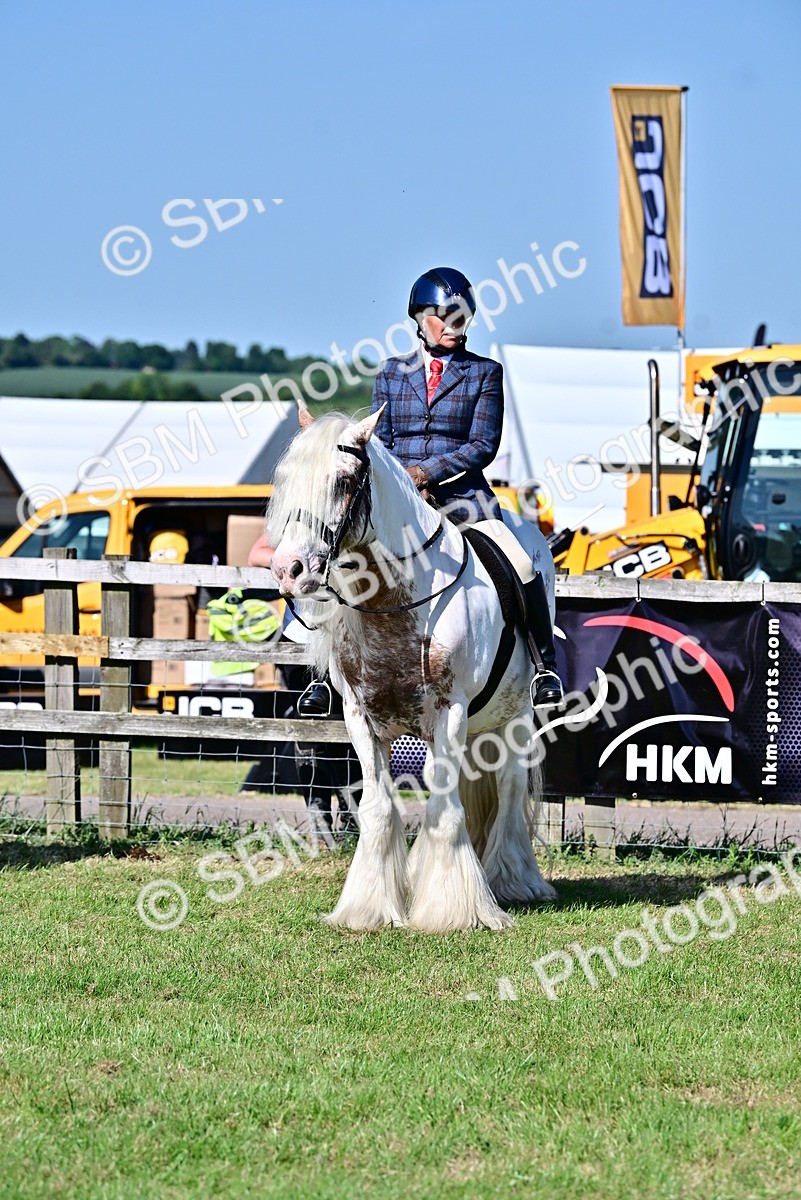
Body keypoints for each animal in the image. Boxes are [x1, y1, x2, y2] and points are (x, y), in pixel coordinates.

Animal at [268, 404, 558, 932]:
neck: (392, 602)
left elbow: (445, 809)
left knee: (509, 788)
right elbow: (378, 808)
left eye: (344, 481)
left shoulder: (450, 711)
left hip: (517, 714)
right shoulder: (360, 718)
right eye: (285, 480)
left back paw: (513, 880)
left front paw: (453, 912)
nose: (288, 569)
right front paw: (368, 909)